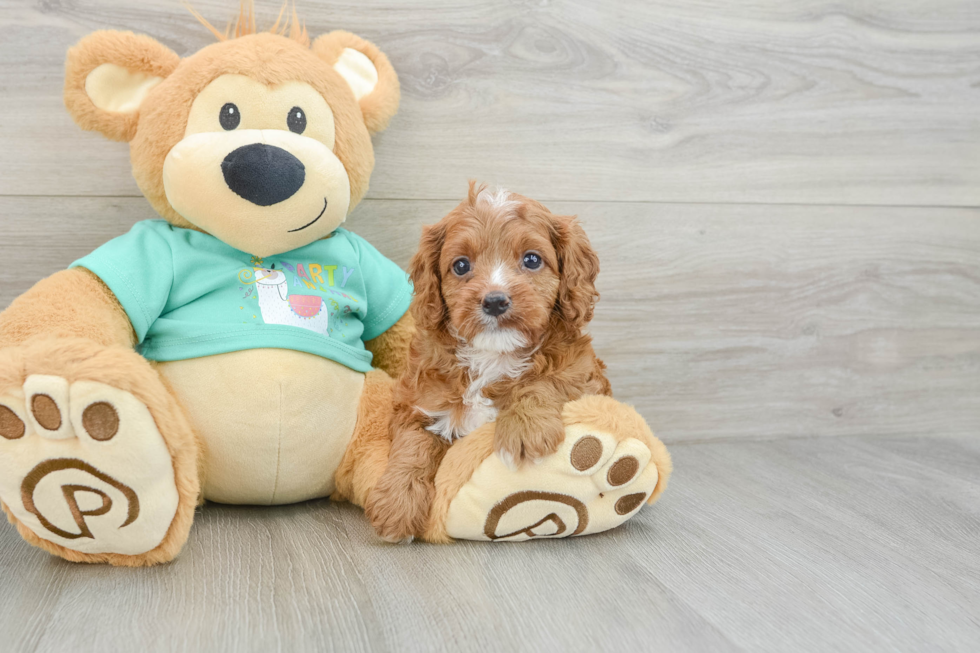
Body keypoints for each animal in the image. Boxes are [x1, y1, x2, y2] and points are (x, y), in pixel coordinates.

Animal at [368, 182, 612, 540]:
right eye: (460, 266)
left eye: (532, 259)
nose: (495, 301)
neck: (493, 354)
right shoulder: (417, 400)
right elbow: (411, 447)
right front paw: (397, 504)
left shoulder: (582, 372)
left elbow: (546, 379)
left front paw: (525, 429)